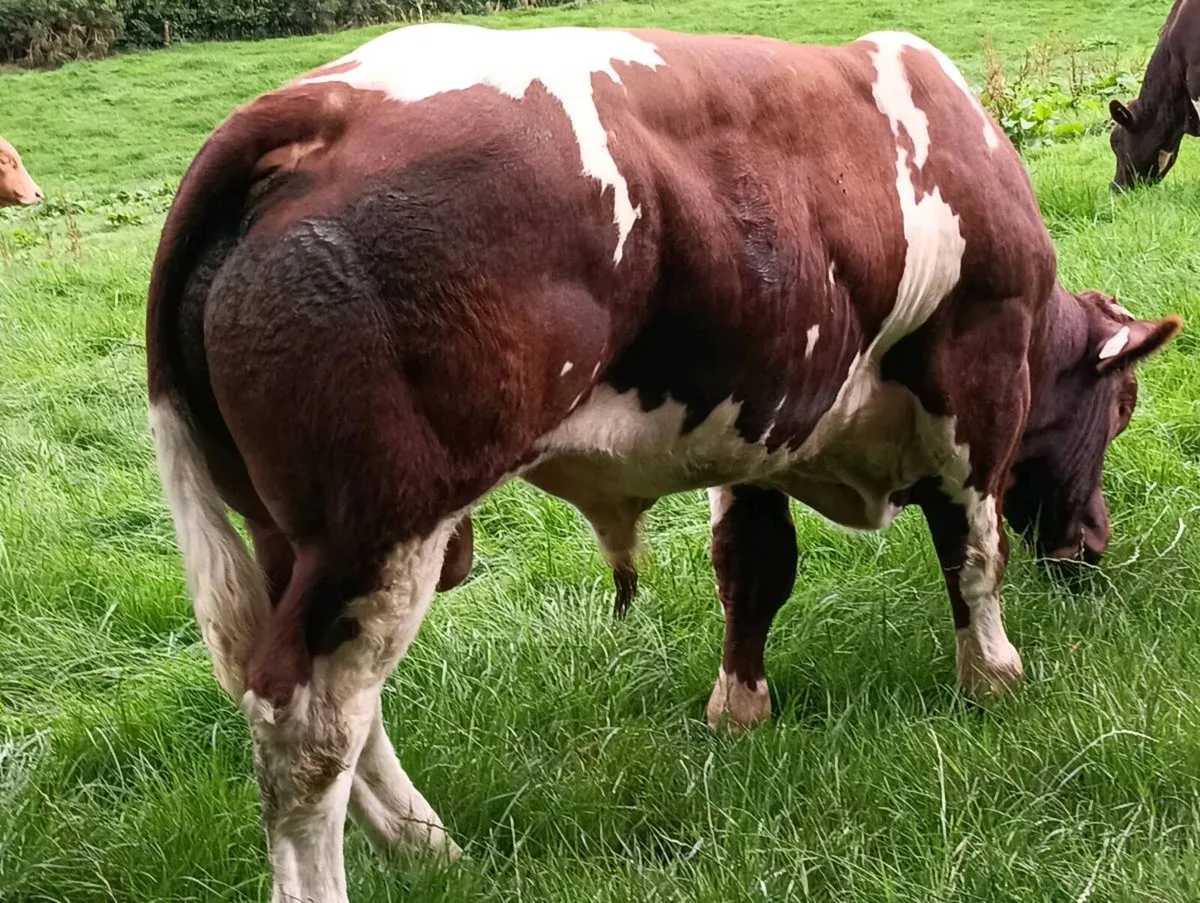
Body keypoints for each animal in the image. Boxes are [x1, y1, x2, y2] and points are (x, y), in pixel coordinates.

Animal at [146, 23, 1180, 901]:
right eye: (1125, 406)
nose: (1094, 548)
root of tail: (310, 109)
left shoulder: (764, 418)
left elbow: (754, 570)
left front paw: (741, 710)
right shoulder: (980, 380)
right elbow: (972, 548)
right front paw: (993, 676)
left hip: (296, 535)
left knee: (345, 713)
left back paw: (427, 843)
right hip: (382, 523)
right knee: (307, 728)